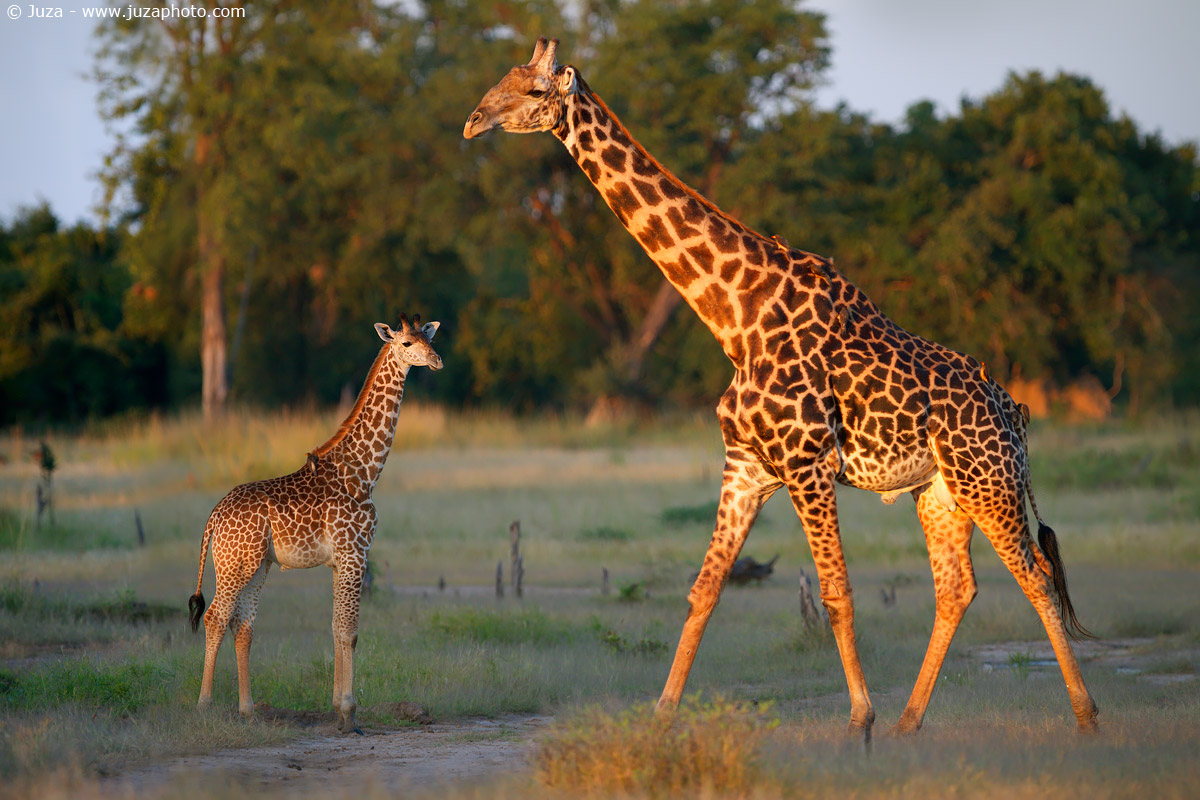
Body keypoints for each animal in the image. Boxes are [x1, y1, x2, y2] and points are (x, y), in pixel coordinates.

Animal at [188, 313, 442, 733]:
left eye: (428, 337)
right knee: (215, 617)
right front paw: (351, 714)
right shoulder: (355, 553)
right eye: (406, 343)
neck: (365, 471)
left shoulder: (339, 560)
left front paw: (339, 711)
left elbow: (337, 628)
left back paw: (248, 710)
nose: (437, 360)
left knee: (243, 625)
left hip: (256, 565)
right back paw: (205, 706)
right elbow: (351, 632)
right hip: (234, 565)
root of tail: (213, 518)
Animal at [464, 37, 1098, 737]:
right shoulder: (746, 465)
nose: (472, 121)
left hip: (989, 481)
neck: (735, 317)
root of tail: (1017, 414)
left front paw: (858, 722)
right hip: (940, 491)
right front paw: (661, 719)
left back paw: (1085, 717)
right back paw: (909, 726)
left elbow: (836, 593)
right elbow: (704, 589)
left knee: (1036, 576)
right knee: (958, 587)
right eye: (502, 79)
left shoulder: (808, 464)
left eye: (532, 90)